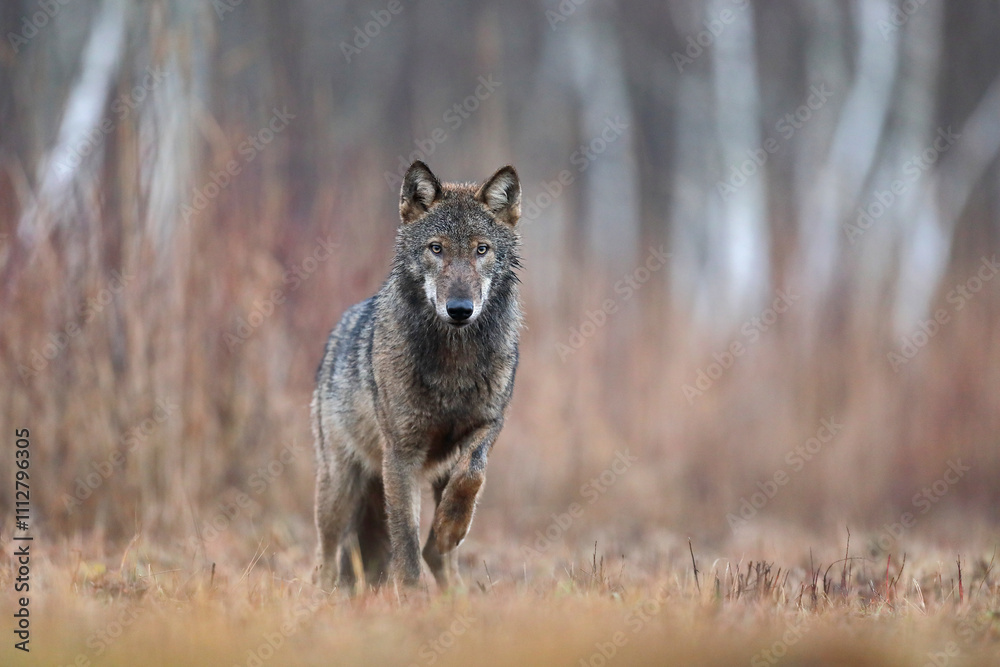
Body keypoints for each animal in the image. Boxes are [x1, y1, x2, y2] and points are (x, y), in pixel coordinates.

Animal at [311, 161, 522, 590]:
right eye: (436, 248)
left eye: (481, 249)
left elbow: (472, 474)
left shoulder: (489, 424)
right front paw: (408, 596)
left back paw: (451, 583)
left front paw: (448, 530)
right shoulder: (401, 454)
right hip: (339, 487)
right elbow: (405, 543)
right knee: (326, 555)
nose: (460, 309)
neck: (454, 362)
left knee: (439, 555)